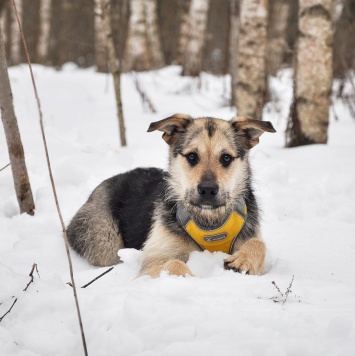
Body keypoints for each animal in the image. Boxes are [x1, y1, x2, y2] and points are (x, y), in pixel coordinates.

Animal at [68, 114, 276, 278]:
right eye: (192, 156)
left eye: (226, 158)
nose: (208, 190)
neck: (209, 222)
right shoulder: (151, 264)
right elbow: (173, 263)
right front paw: (186, 279)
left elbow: (259, 243)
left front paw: (244, 260)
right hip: (104, 242)